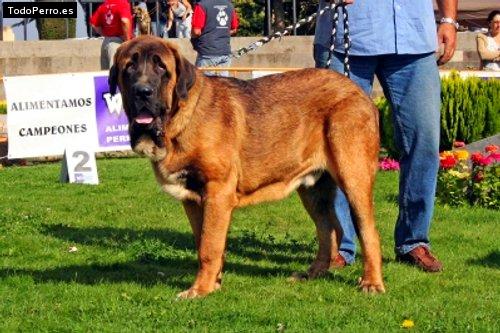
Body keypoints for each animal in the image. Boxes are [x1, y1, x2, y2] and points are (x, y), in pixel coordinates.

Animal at [108, 35, 382, 296]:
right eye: (129, 66)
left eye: (161, 67)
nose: (142, 91)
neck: (180, 119)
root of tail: (357, 90)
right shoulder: (193, 200)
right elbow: (204, 242)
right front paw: (214, 283)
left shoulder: (217, 192)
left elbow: (209, 246)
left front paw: (199, 290)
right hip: (313, 191)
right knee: (328, 230)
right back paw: (312, 274)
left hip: (353, 177)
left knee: (368, 232)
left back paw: (371, 283)